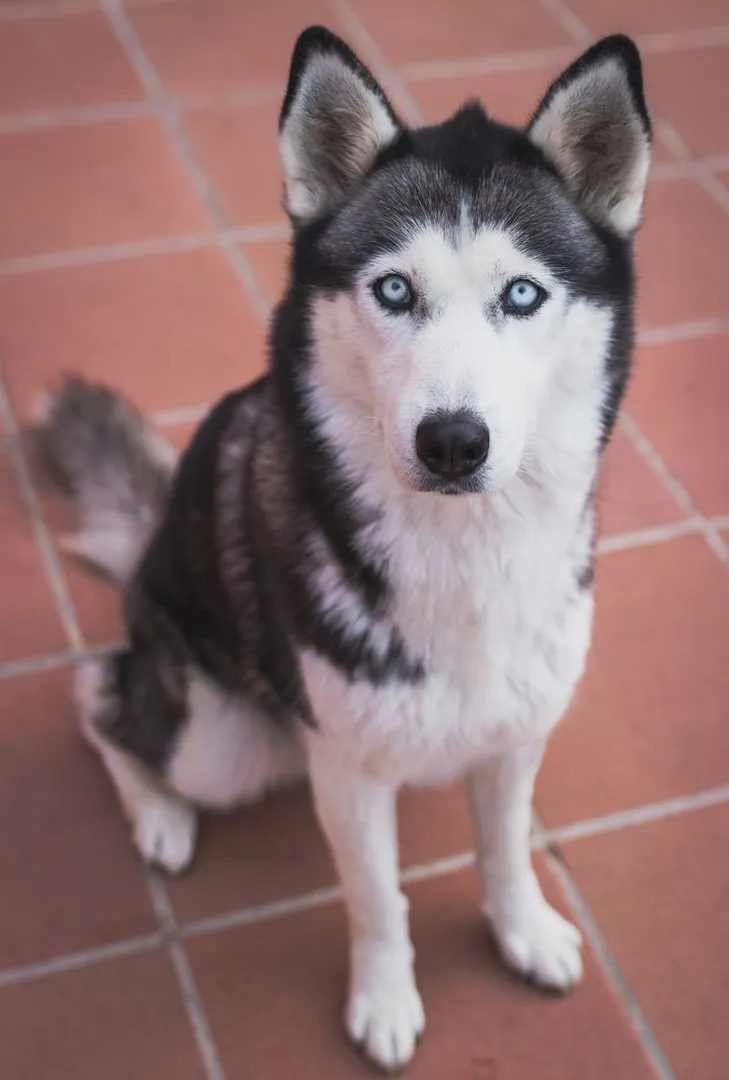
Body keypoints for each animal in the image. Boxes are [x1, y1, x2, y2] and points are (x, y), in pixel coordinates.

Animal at [39, 25, 652, 1071]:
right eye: (394, 289)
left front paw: (521, 930)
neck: (462, 557)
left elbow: (504, 846)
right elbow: (376, 899)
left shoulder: (519, 734)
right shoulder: (349, 773)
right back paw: (159, 814)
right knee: (100, 700)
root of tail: (156, 536)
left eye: (522, 294)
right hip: (223, 739)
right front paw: (384, 1000)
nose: (452, 442)